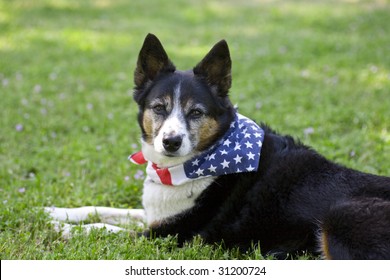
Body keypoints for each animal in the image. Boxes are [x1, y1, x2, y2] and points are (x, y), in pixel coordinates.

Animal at [45, 34, 390, 260]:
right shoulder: (156, 216)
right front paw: (55, 211)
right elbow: (105, 210)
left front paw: (62, 230)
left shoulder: (169, 236)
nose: (171, 142)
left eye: (196, 112)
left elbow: (104, 228)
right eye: (159, 108)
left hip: (339, 217)